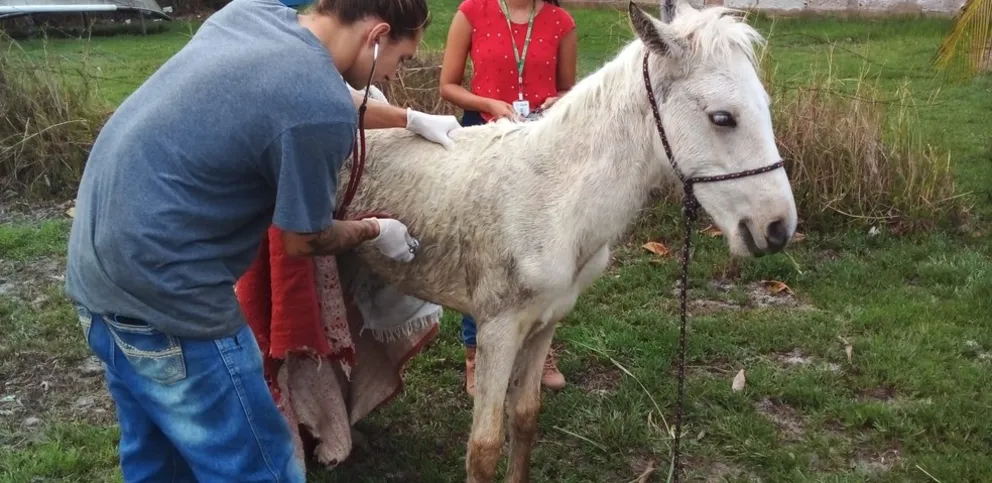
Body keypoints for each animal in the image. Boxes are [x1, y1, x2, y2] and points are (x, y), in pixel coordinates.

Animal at [338, 2, 796, 480]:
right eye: (723, 117)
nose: (777, 228)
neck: (552, 198)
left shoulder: (546, 321)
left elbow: (525, 416)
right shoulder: (497, 329)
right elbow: (484, 448)